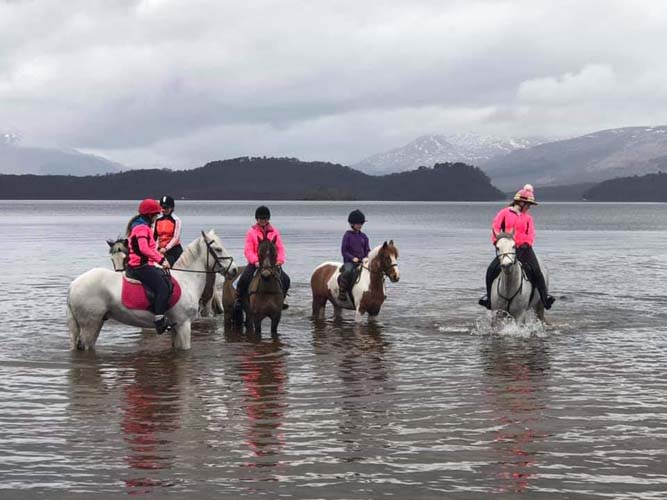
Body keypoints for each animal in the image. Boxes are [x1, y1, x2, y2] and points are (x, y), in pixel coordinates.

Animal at [68, 231, 239, 352]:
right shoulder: (183, 325)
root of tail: (73, 285)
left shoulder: (176, 327)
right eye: (218, 249)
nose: (235, 270)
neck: (186, 278)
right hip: (90, 324)